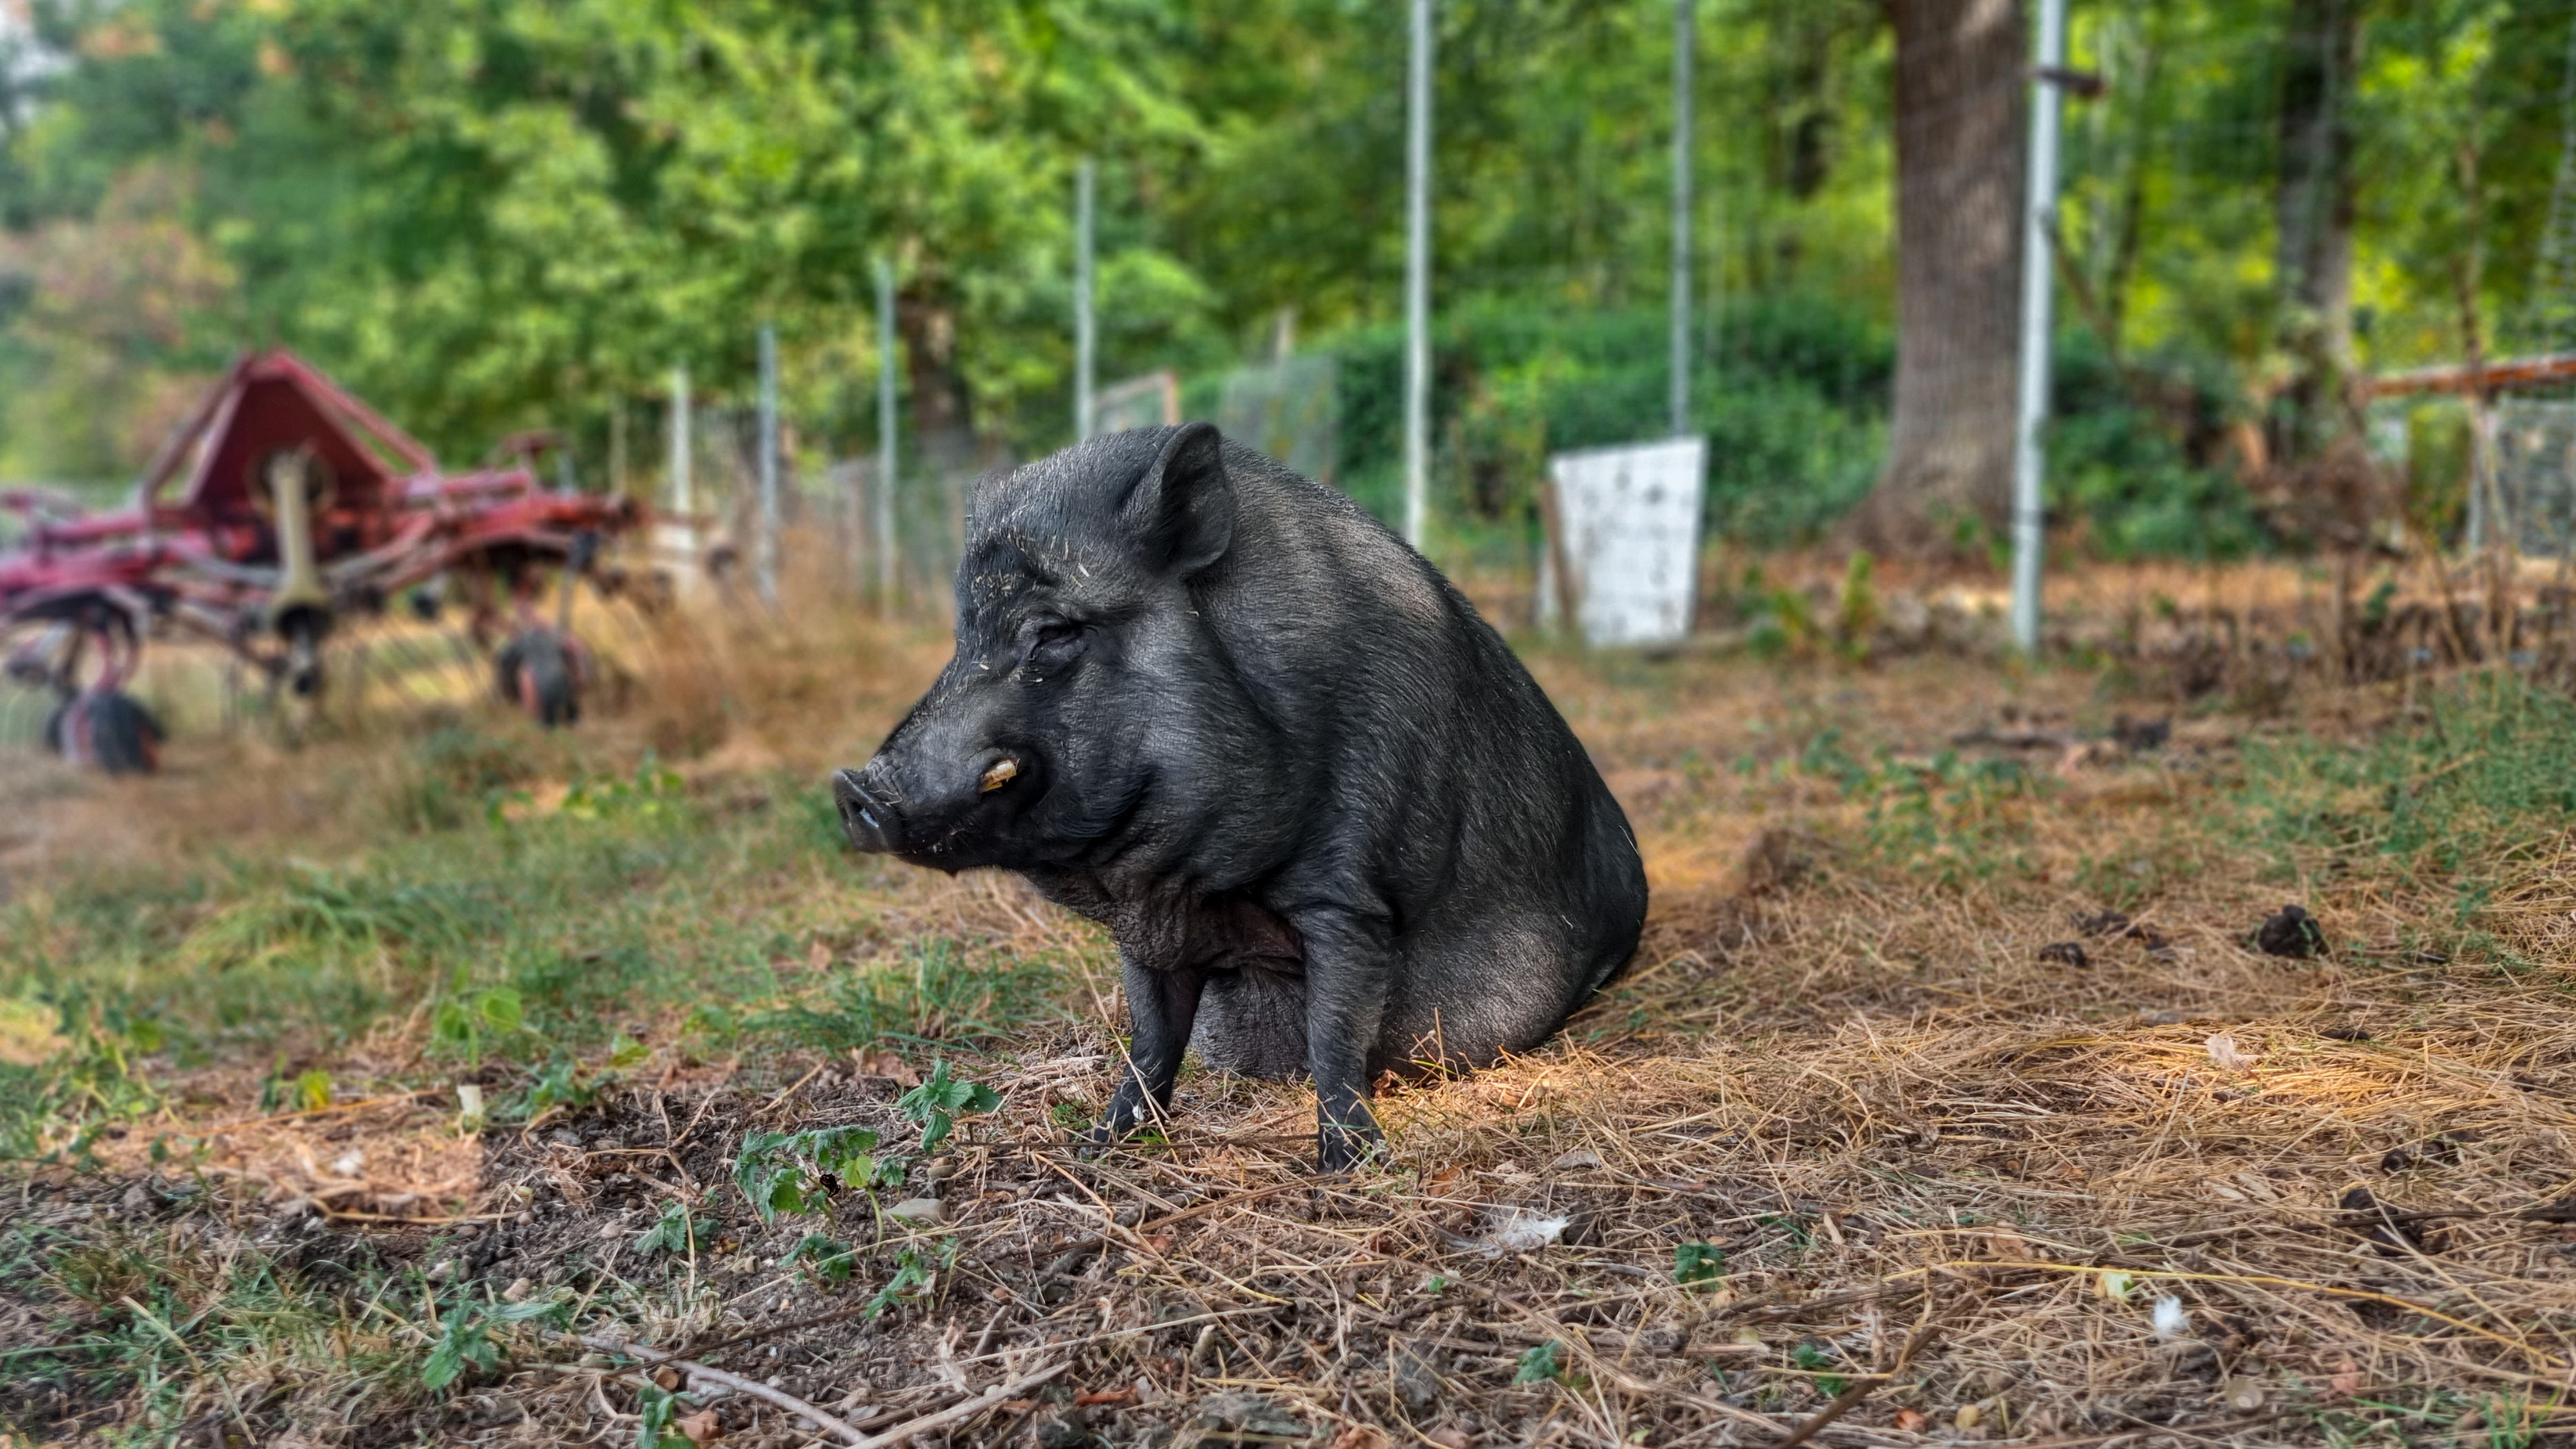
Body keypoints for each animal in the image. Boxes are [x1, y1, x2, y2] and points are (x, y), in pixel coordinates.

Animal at [845, 419, 1648, 1168]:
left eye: (1054, 632)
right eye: (963, 640)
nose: (856, 788)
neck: (1192, 889)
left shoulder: (1346, 893)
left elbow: (1333, 1034)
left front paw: (1347, 1167)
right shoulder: (1146, 930)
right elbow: (1151, 1037)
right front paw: (1098, 1148)